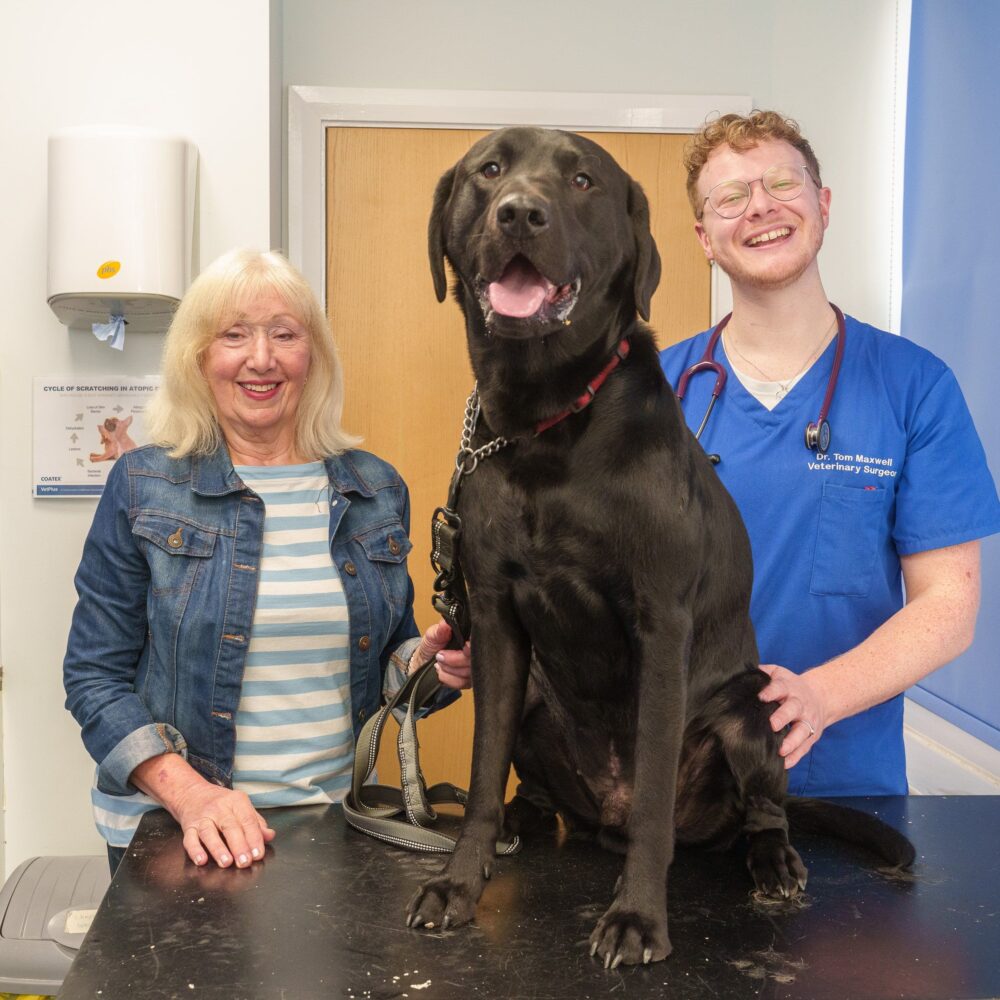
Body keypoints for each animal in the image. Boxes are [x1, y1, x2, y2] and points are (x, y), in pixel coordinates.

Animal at [406, 129, 916, 964]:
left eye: (583, 180)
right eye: (490, 170)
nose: (520, 213)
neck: (548, 420)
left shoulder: (660, 625)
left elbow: (651, 801)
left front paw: (638, 918)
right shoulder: (497, 621)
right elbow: (481, 777)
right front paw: (457, 883)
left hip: (750, 709)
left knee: (758, 810)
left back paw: (772, 860)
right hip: (538, 699)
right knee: (533, 787)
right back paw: (526, 819)